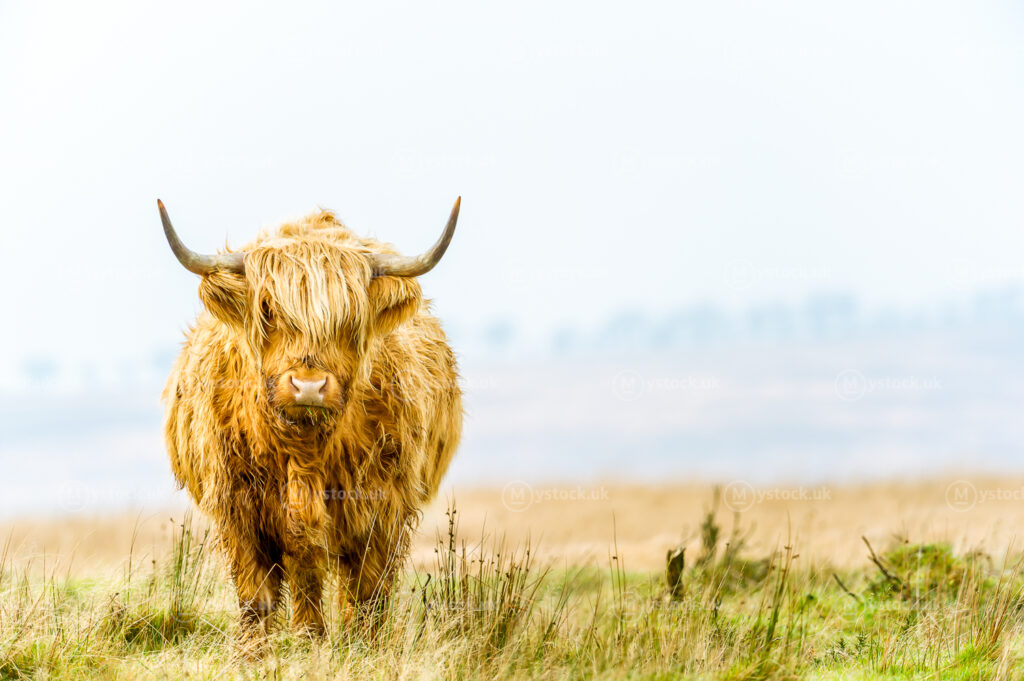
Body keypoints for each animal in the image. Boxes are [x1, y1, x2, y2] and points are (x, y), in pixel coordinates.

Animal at [158, 198, 463, 639]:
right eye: (268, 310)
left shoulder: (381, 511)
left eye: (350, 318)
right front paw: (265, 649)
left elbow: (366, 595)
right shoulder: (239, 511)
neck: (306, 450)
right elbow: (259, 599)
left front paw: (355, 646)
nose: (308, 386)